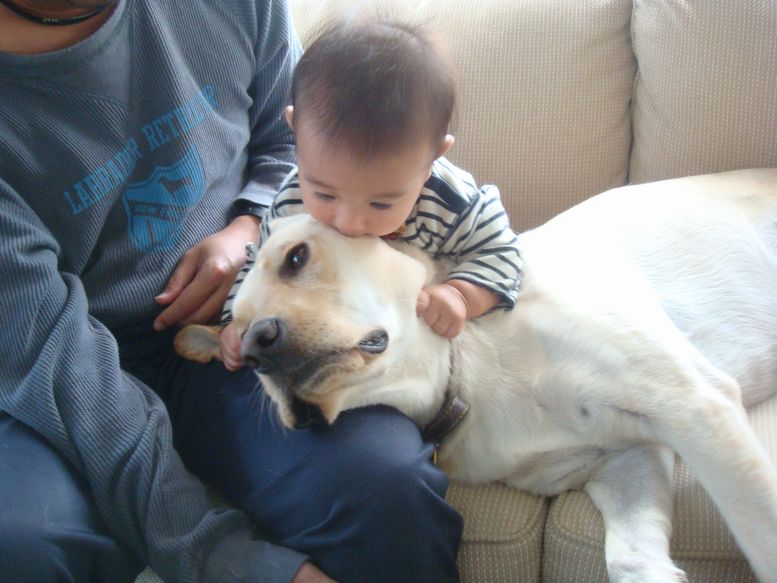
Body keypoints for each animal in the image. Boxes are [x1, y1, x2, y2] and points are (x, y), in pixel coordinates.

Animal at [175, 168, 777, 582]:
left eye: (297, 257)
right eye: (239, 348)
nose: (256, 346)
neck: (468, 369)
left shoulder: (691, 401)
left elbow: (758, 528)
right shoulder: (627, 457)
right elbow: (631, 559)